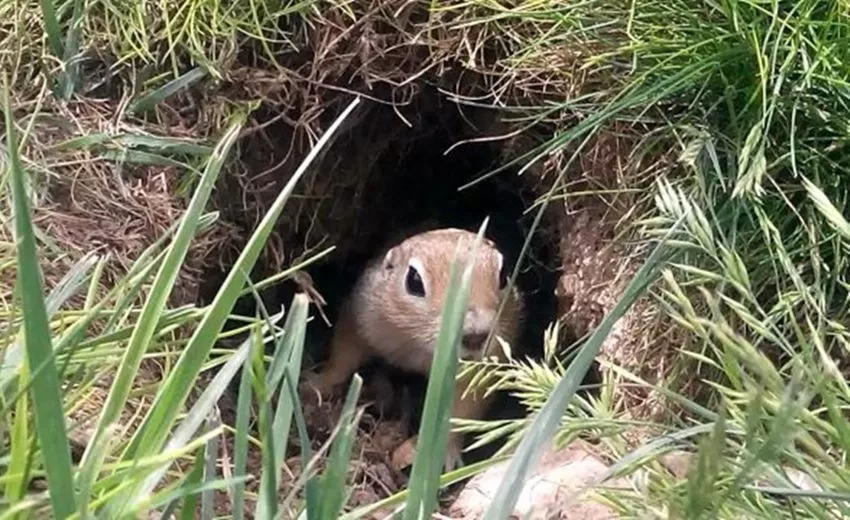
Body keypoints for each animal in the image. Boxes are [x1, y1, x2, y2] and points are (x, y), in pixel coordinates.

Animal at [298, 228, 524, 472]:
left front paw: (444, 452)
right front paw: (316, 384)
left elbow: (462, 410)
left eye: (504, 274)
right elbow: (343, 356)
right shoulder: (360, 316)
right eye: (414, 281)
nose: (476, 335)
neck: (420, 348)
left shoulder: (483, 367)